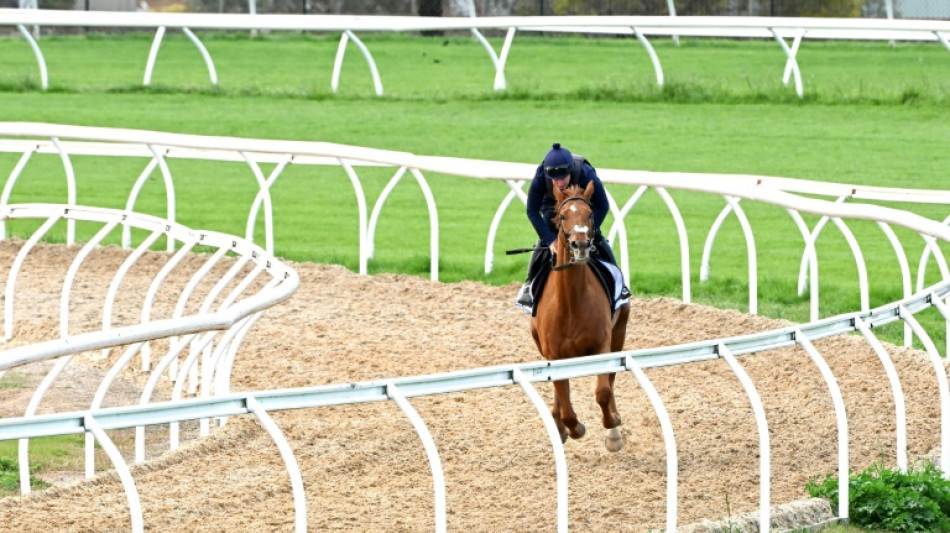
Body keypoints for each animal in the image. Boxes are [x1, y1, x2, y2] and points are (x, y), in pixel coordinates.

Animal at [528, 181, 632, 450]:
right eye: (563, 215)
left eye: (590, 214)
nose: (581, 245)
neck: (571, 305)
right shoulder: (554, 353)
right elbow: (565, 403)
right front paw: (572, 427)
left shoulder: (603, 345)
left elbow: (603, 391)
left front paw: (612, 429)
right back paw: (558, 424)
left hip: (619, 332)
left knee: (611, 380)